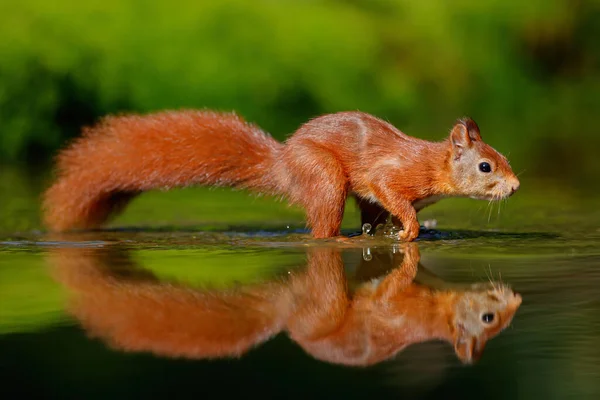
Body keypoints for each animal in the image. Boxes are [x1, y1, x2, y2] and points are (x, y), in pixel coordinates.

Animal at [43, 109, 520, 239]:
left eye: (502, 156)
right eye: (485, 166)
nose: (515, 186)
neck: (432, 163)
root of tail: (283, 163)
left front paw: (398, 230)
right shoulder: (394, 174)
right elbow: (393, 194)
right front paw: (410, 229)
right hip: (324, 176)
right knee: (322, 228)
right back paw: (343, 239)